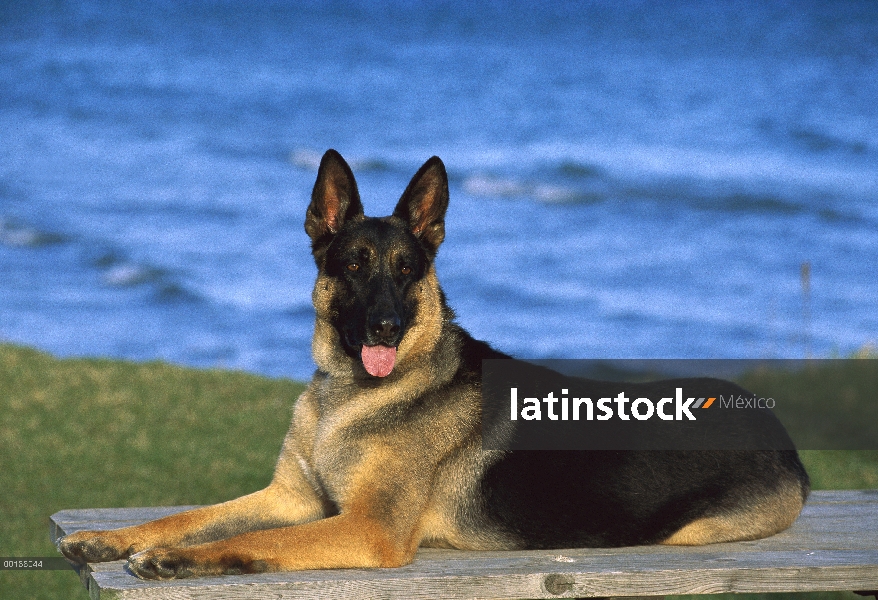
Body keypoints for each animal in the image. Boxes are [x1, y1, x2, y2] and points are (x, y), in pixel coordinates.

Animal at [58, 149, 808, 576]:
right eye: (354, 266)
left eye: (406, 270)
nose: (387, 326)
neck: (353, 396)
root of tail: (780, 431)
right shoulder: (288, 497)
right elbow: (189, 515)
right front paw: (110, 538)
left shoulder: (365, 528)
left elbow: (257, 542)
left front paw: (179, 560)